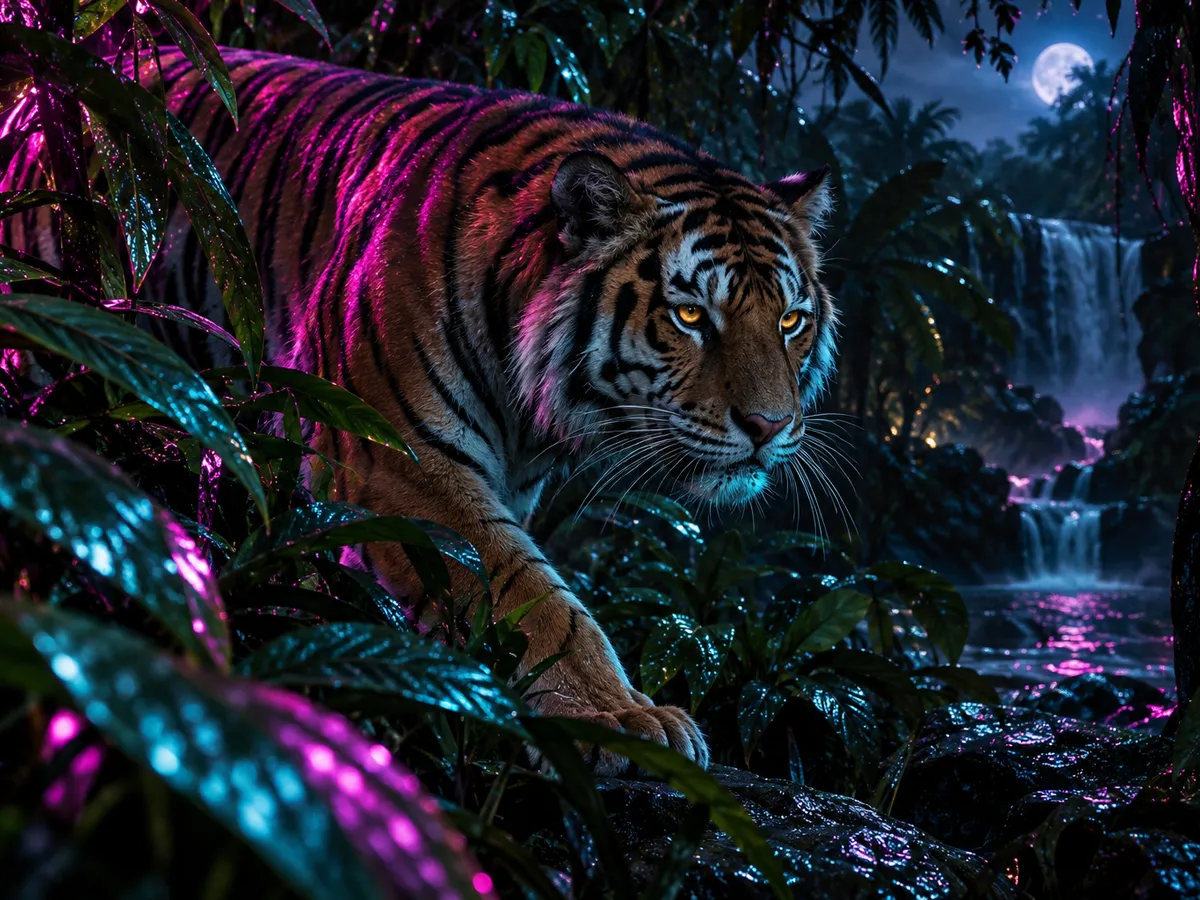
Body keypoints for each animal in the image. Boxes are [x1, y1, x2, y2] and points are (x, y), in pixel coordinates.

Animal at [5, 47, 839, 774]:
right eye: (692, 316)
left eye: (790, 321)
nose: (769, 428)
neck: (534, 405)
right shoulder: (395, 461)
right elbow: (534, 595)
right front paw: (621, 719)